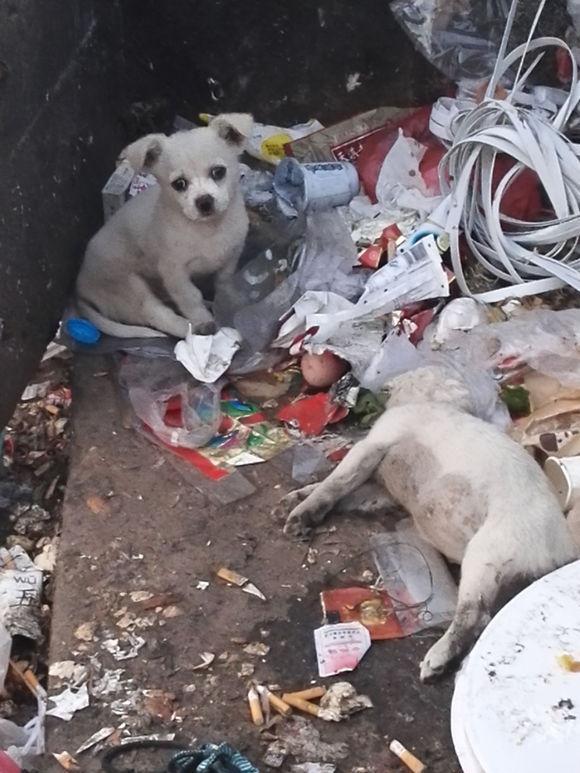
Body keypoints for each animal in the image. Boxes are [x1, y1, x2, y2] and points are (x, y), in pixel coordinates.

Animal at [76, 112, 253, 338]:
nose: (204, 201)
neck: (209, 229)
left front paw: (231, 300)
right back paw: (193, 330)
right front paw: (203, 319)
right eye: (179, 184)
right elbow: (191, 298)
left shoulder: (231, 257)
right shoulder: (174, 273)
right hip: (131, 288)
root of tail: (80, 288)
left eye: (218, 172)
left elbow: (224, 282)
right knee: (159, 315)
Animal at [278, 364, 576, 680]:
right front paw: (291, 502)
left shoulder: (374, 444)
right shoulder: (381, 491)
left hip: (488, 552)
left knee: (474, 614)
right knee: (483, 614)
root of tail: (563, 550)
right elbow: (342, 492)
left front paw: (298, 518)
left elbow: (335, 483)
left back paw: (436, 662)